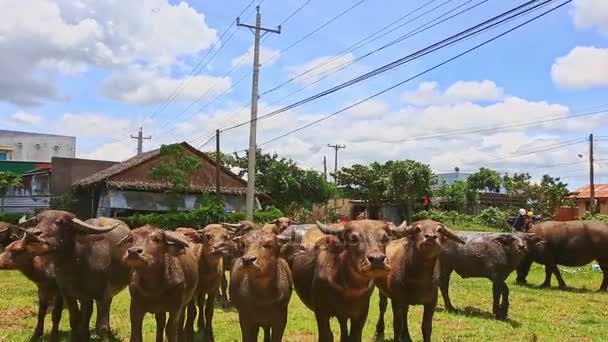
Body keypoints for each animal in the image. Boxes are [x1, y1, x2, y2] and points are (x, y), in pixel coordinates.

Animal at [21, 211, 129, 342]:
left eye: (61, 222)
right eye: (37, 220)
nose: (31, 233)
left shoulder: (102, 294)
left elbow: (101, 325)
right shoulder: (68, 293)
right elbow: (74, 319)